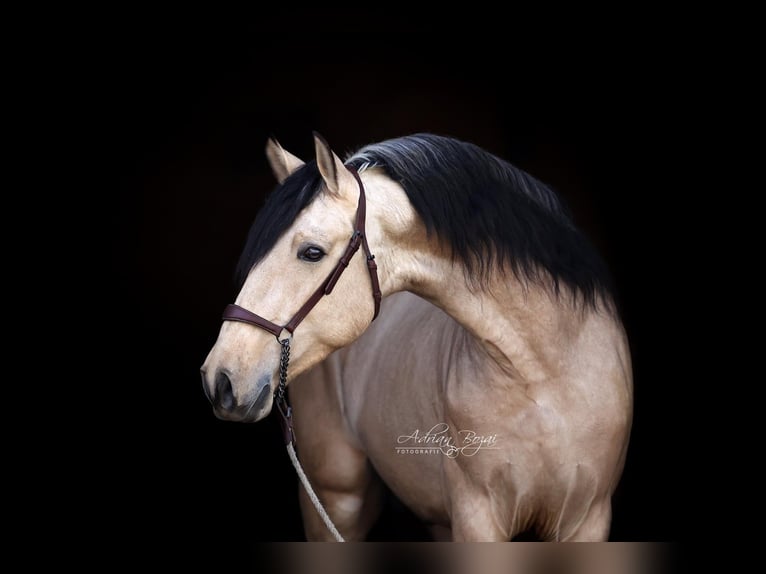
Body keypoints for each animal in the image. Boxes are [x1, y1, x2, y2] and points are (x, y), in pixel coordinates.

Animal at [201, 133, 633, 541]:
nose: (220, 380)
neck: (546, 372)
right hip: (335, 497)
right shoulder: (477, 516)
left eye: (312, 252)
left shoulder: (588, 518)